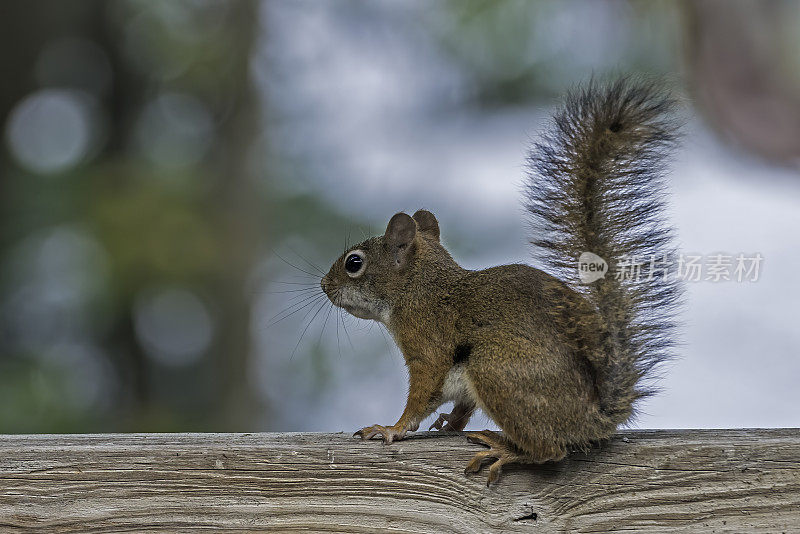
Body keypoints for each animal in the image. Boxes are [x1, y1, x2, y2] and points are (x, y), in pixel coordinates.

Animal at [318, 78, 680, 486]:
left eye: (354, 263)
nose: (324, 285)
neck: (418, 287)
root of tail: (594, 418)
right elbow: (461, 404)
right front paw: (449, 424)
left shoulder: (427, 343)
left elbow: (421, 395)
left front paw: (390, 429)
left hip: (496, 370)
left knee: (550, 450)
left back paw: (505, 450)